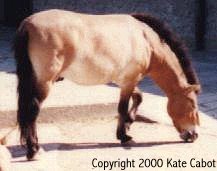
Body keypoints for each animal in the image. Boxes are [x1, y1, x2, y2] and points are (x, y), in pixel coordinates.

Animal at [13, 9, 200, 160]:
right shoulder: (129, 81)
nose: (194, 135)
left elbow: (138, 97)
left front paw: (128, 124)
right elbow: (122, 108)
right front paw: (124, 135)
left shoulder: (124, 81)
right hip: (45, 83)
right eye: (192, 104)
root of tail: (28, 24)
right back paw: (34, 150)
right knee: (32, 111)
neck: (146, 40)